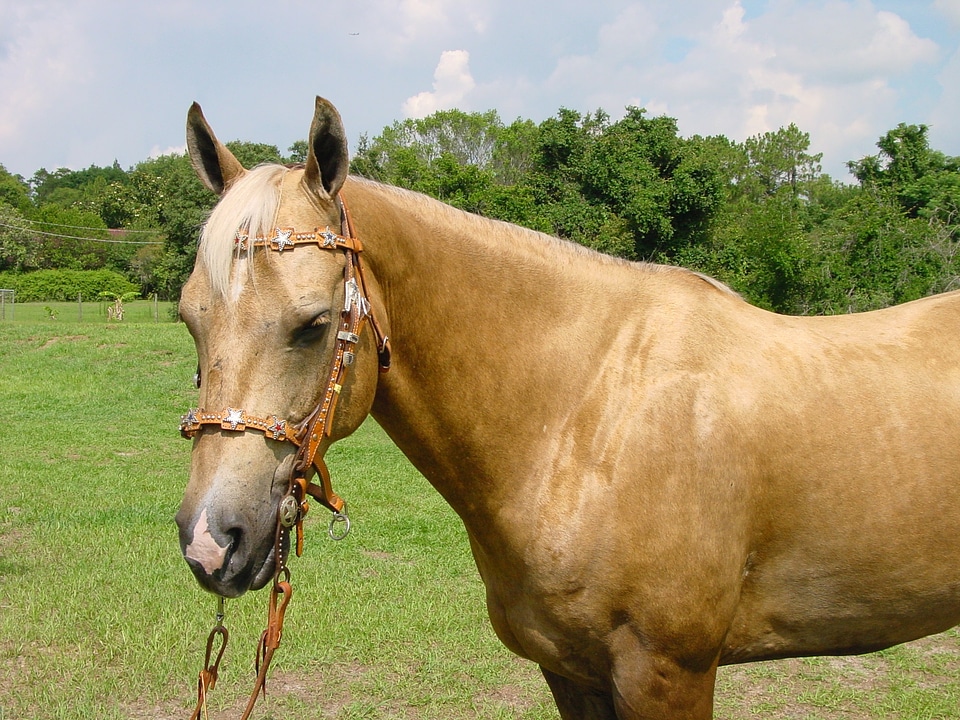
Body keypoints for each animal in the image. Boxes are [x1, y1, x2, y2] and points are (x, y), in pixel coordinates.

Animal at [176, 97, 960, 720]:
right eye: (189, 318)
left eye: (312, 324)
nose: (211, 541)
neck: (586, 415)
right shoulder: (571, 671)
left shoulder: (666, 673)